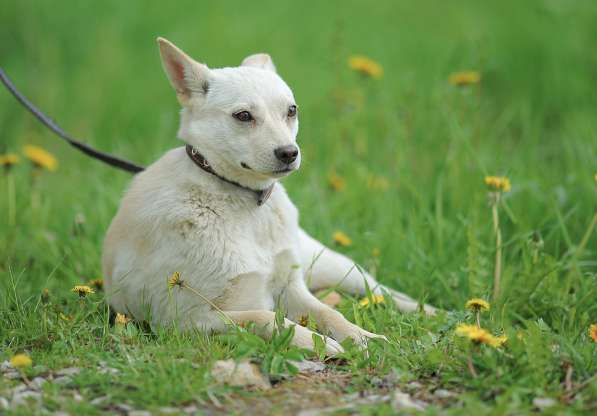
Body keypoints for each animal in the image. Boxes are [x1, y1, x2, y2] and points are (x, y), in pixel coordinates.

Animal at [102, 37, 434, 352]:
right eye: (243, 115)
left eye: (291, 110)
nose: (289, 153)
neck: (246, 204)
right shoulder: (184, 320)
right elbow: (267, 318)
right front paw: (321, 342)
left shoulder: (290, 288)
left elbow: (329, 313)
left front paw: (361, 336)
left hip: (333, 264)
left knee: (380, 291)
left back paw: (429, 311)